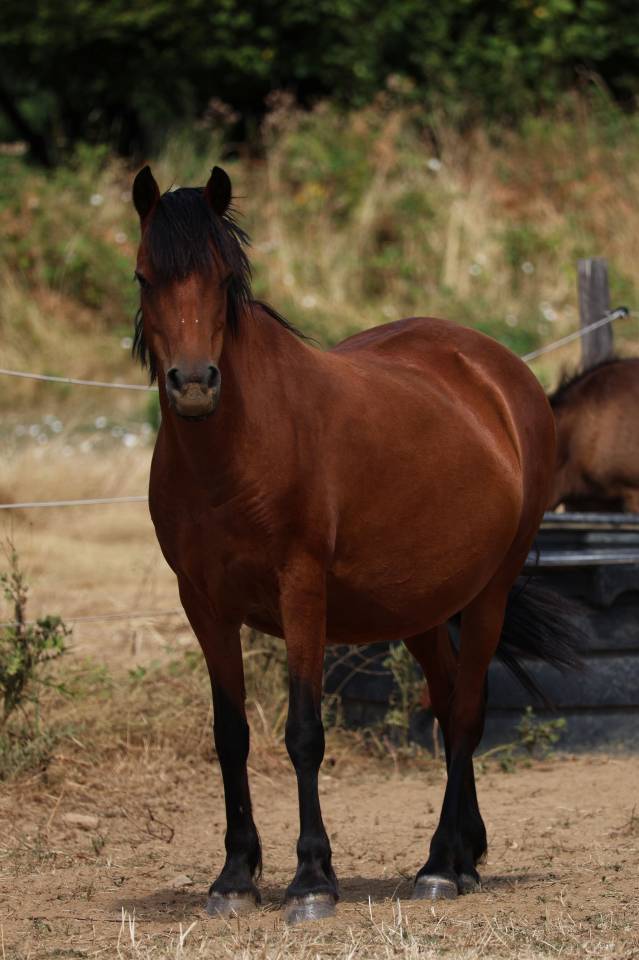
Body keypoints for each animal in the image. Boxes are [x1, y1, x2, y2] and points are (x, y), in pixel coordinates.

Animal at [131, 164, 582, 923]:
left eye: (224, 279)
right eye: (143, 276)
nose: (193, 385)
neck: (236, 450)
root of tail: (500, 371)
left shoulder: (301, 590)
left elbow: (304, 734)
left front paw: (312, 880)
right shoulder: (203, 604)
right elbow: (231, 736)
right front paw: (234, 877)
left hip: (489, 593)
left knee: (466, 712)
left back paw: (438, 866)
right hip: (423, 609)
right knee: (446, 701)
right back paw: (464, 856)